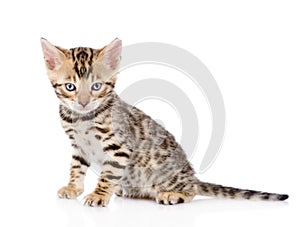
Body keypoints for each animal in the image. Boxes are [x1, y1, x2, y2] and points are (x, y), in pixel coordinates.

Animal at [40, 37, 288, 206]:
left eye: (96, 86)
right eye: (70, 86)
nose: (83, 102)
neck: (81, 119)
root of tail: (191, 176)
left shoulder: (119, 147)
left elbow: (108, 174)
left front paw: (99, 194)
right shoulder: (78, 147)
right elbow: (76, 167)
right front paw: (73, 187)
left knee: (191, 191)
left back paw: (173, 194)